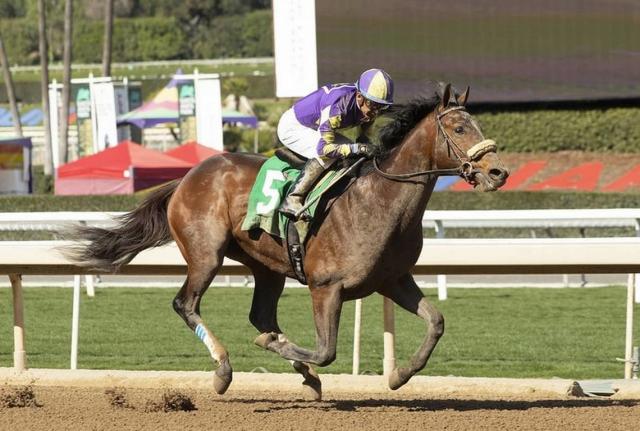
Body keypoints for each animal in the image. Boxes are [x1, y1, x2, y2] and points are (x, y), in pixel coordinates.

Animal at [65, 84, 510, 402]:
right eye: (459, 128)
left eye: (477, 125)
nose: (498, 172)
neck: (379, 200)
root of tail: (188, 176)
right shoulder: (326, 288)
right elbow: (326, 350)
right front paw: (277, 350)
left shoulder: (393, 279)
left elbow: (436, 322)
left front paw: (399, 375)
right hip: (206, 255)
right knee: (186, 304)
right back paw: (224, 370)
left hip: (266, 267)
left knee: (261, 315)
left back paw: (301, 374)